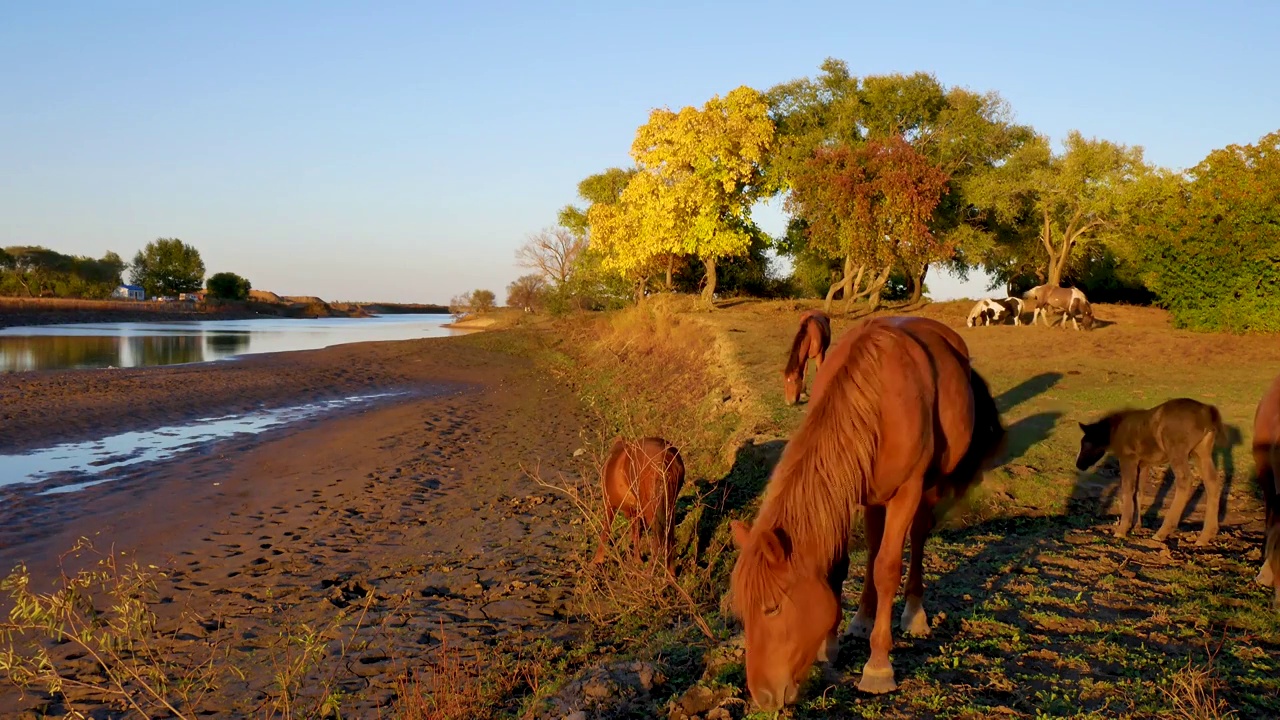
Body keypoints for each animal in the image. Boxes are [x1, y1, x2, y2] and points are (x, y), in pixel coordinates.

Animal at [591, 435, 686, 568]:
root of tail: (666, 455)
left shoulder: (609, 505)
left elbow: (606, 531)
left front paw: (597, 560)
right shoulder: (636, 511)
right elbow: (636, 535)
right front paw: (637, 560)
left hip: (652, 510)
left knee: (659, 539)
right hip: (668, 508)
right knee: (669, 539)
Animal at [727, 313, 1003, 707]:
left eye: (772, 608)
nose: (763, 697)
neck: (876, 395)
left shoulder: (907, 491)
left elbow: (888, 569)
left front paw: (878, 667)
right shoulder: (848, 490)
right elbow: (841, 567)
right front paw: (830, 644)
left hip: (929, 486)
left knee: (916, 537)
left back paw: (914, 613)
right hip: (874, 496)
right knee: (873, 547)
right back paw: (862, 618)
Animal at [1080, 397, 1228, 543]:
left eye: (1086, 443)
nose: (1079, 464)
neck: (1114, 431)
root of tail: (1207, 412)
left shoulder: (1128, 459)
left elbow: (1128, 491)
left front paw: (1122, 530)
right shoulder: (1144, 464)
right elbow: (1139, 493)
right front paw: (1136, 526)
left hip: (1178, 452)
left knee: (1185, 480)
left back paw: (1162, 532)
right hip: (1201, 452)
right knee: (1212, 483)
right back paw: (1206, 535)